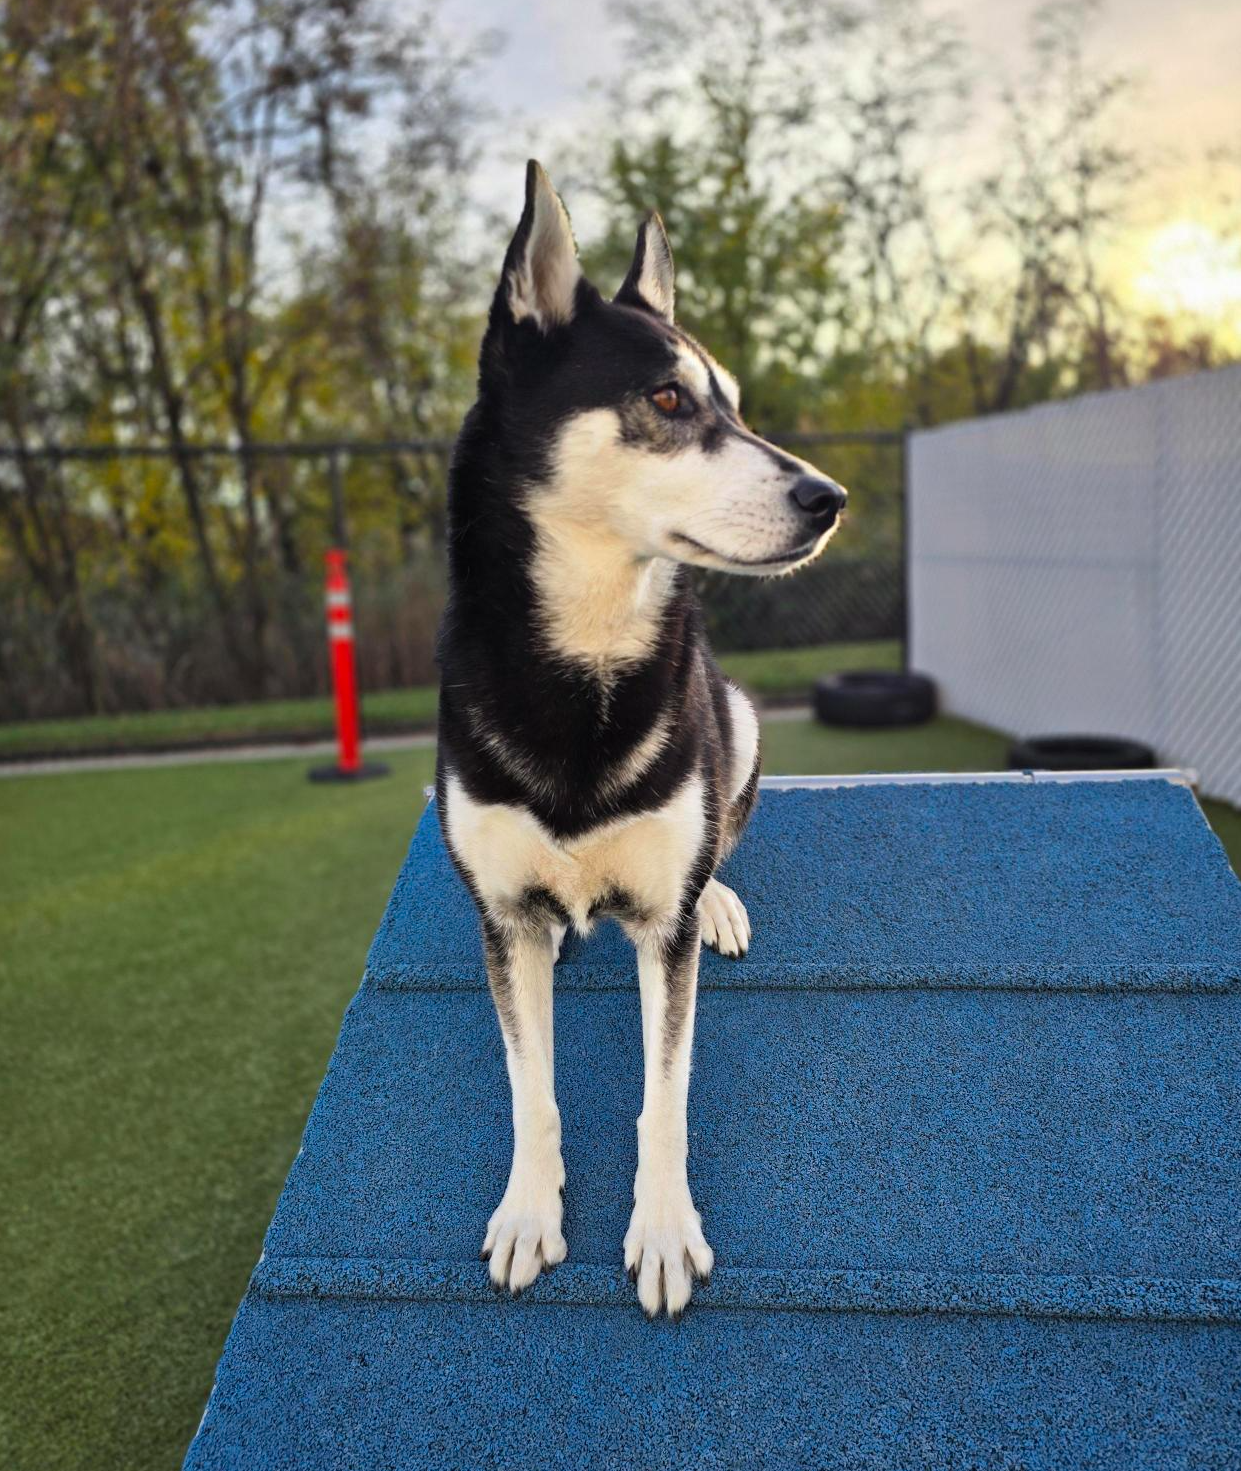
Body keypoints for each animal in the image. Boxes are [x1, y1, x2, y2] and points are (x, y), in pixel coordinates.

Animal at [432, 161, 846, 1323]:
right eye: (667, 400)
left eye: (735, 404)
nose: (830, 498)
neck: (583, 667)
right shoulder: (506, 923)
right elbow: (531, 1090)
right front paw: (529, 1211)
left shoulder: (660, 934)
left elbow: (664, 1096)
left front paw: (661, 1230)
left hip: (737, 719)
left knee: (719, 838)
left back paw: (722, 899)